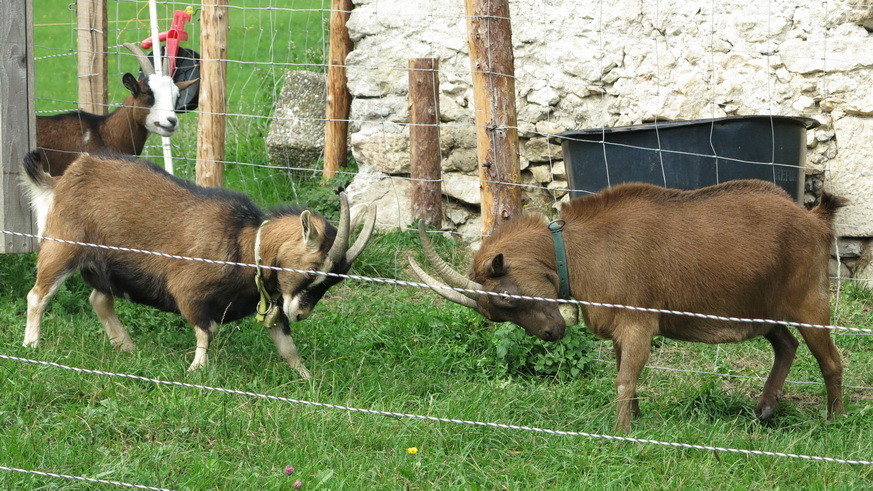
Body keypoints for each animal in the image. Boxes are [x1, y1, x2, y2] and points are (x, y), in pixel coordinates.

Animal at [23, 153, 374, 376]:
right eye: (313, 270)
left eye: (335, 281)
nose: (301, 314)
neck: (244, 244)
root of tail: (65, 177)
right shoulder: (188, 291)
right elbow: (207, 331)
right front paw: (197, 370)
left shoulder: (270, 305)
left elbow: (287, 346)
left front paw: (307, 378)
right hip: (63, 245)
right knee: (38, 295)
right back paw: (32, 345)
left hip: (106, 268)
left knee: (99, 299)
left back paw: (127, 348)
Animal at [412, 180, 848, 430]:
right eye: (494, 312)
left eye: (506, 297)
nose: (552, 334)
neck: (576, 251)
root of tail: (816, 219)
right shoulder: (619, 329)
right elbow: (626, 373)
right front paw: (635, 421)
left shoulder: (639, 321)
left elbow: (624, 378)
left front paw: (621, 434)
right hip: (764, 309)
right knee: (786, 345)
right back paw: (766, 409)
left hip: (809, 300)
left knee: (830, 360)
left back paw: (832, 421)